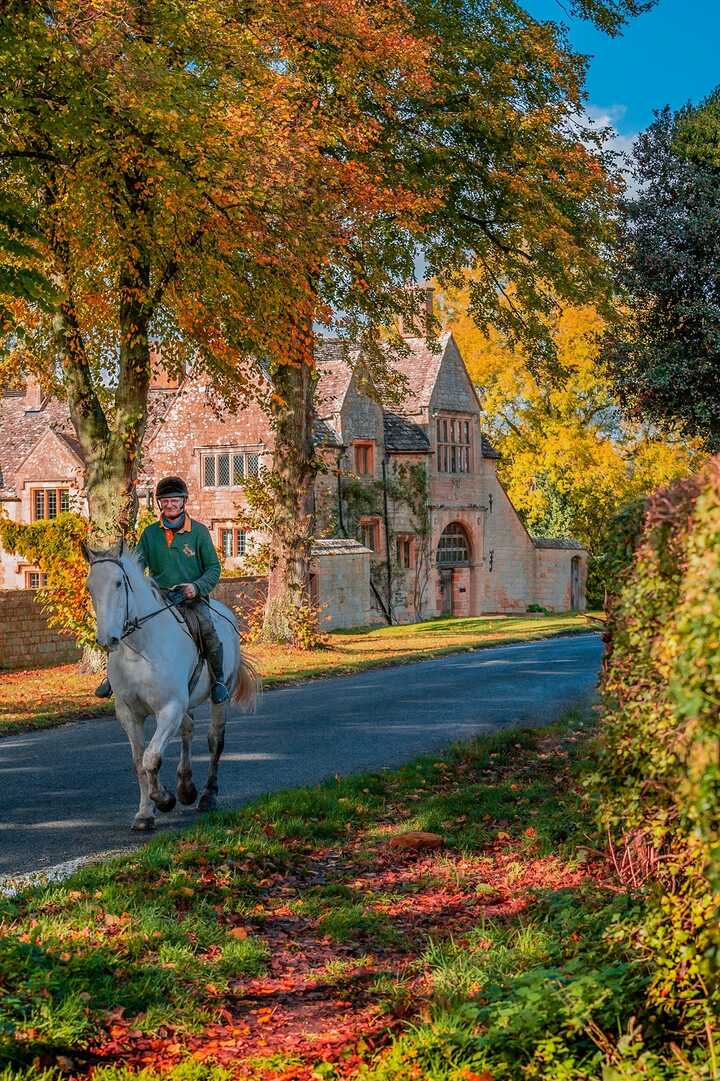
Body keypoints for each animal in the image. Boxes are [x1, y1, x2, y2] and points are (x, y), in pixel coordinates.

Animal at [82, 536, 255, 830]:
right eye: (90, 587)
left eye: (118, 583)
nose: (108, 639)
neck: (139, 650)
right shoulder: (128, 712)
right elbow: (139, 763)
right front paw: (144, 814)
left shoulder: (169, 708)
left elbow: (151, 758)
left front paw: (164, 800)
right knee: (188, 729)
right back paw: (186, 788)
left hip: (220, 696)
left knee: (214, 740)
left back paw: (207, 796)